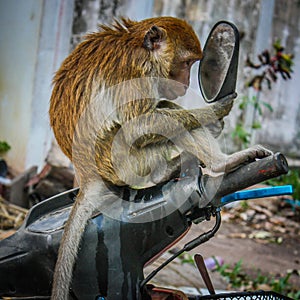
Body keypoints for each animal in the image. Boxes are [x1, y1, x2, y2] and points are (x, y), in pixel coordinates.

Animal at [49, 17, 272, 300]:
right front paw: (215, 110)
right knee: (161, 117)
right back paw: (221, 163)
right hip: (126, 161)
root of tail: (87, 174)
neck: (138, 46)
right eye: (186, 63)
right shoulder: (137, 73)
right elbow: (138, 127)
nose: (186, 84)